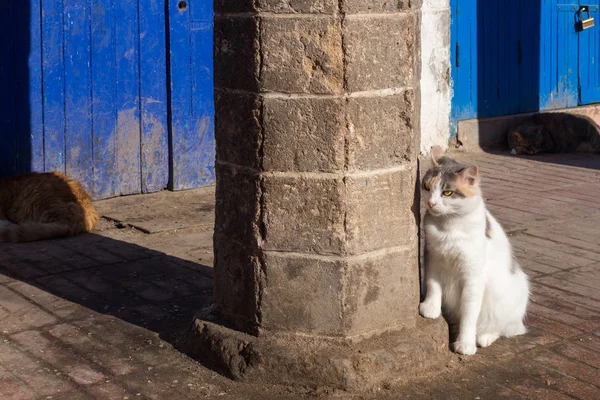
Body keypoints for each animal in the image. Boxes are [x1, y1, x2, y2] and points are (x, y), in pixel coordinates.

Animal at [418, 145, 528, 354]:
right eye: (427, 187)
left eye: (447, 193)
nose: (431, 203)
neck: (448, 227)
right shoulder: (433, 258)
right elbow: (433, 286)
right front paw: (430, 308)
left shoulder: (473, 278)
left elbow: (468, 315)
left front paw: (465, 344)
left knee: (502, 328)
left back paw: (484, 337)